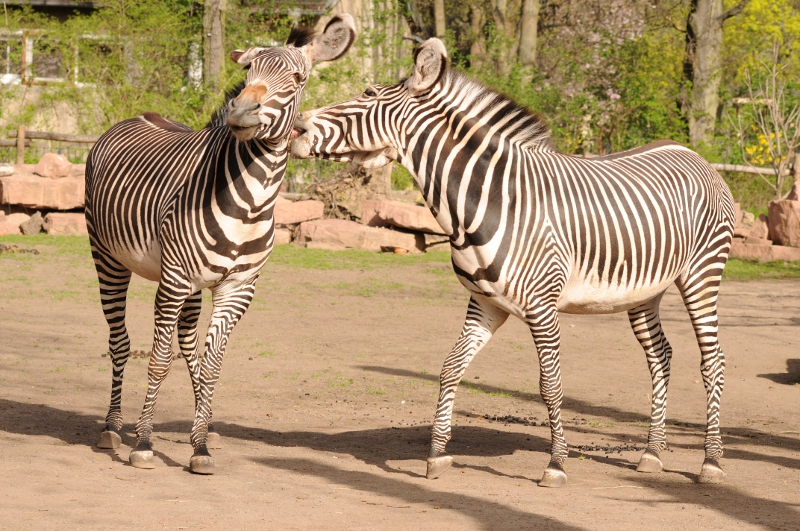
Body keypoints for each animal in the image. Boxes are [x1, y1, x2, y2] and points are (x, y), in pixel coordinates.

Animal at [85, 15, 356, 474]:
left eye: (298, 78)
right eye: (248, 72)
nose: (242, 111)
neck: (249, 201)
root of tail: (142, 114)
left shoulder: (237, 288)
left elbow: (211, 364)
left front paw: (200, 446)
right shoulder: (173, 281)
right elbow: (158, 361)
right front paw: (144, 443)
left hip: (193, 286)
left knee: (189, 347)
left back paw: (204, 427)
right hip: (109, 259)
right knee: (120, 342)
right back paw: (112, 428)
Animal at [290, 38, 735, 487]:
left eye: (367, 93)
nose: (297, 127)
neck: (486, 203)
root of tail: (692, 153)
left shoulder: (543, 307)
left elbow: (550, 384)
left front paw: (556, 463)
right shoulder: (484, 303)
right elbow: (450, 368)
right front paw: (437, 455)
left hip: (702, 273)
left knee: (713, 361)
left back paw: (711, 462)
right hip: (646, 291)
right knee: (660, 356)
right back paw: (652, 453)